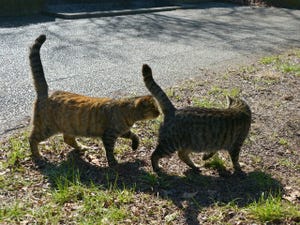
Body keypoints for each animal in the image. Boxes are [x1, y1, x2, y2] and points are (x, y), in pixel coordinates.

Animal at [28, 34, 159, 165]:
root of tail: (47, 93)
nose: (159, 113)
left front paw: (135, 145)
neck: (127, 111)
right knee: (32, 139)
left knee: (68, 139)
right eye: (153, 108)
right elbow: (109, 152)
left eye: (157, 107)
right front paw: (113, 163)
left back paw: (81, 147)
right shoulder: (109, 136)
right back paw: (38, 155)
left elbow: (135, 135)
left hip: (68, 127)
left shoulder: (123, 131)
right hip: (46, 128)